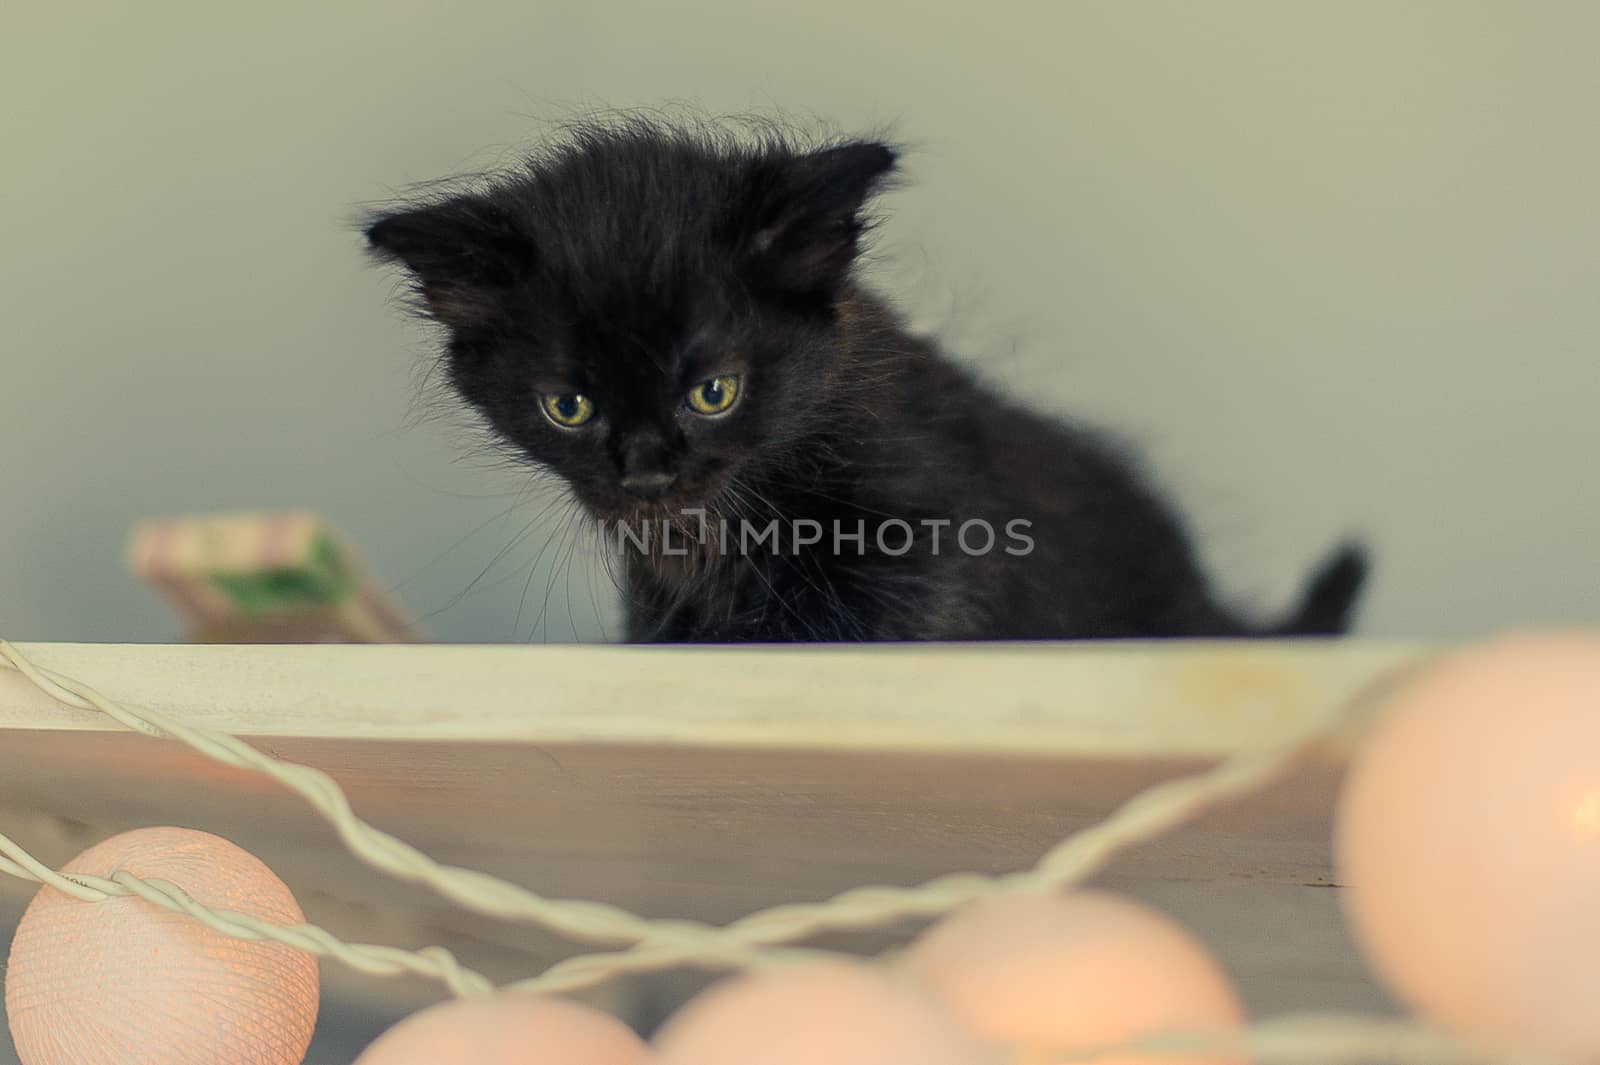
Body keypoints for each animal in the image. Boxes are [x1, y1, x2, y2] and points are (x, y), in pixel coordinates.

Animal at [368, 121, 1369, 642]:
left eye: (714, 392)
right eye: (568, 406)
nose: (646, 471)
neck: (715, 535)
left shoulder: (928, 543)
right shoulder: (662, 603)